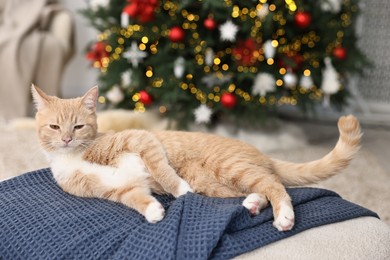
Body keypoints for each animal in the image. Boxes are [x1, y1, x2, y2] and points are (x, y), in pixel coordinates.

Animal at [31, 85, 362, 232]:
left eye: (78, 126)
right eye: (55, 127)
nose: (66, 139)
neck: (76, 156)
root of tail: (259, 152)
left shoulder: (142, 140)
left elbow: (161, 169)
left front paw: (178, 190)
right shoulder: (117, 188)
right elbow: (136, 198)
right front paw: (153, 211)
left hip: (227, 168)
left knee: (275, 184)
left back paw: (284, 216)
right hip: (216, 183)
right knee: (264, 186)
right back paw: (254, 204)